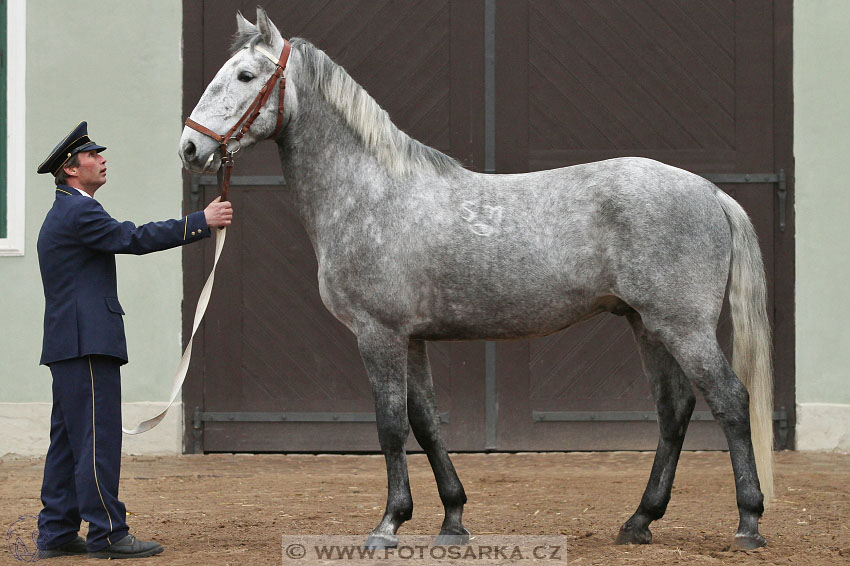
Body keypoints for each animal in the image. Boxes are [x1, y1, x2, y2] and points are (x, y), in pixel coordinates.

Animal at [179, 7, 776, 552]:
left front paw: (388, 525)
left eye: (245, 76)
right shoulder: (412, 340)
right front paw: (452, 520)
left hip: (682, 327)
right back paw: (639, 521)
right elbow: (425, 423)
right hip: (647, 326)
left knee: (730, 400)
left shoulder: (378, 335)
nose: (190, 148)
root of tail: (709, 191)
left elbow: (390, 426)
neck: (371, 193)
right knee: (674, 409)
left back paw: (748, 523)